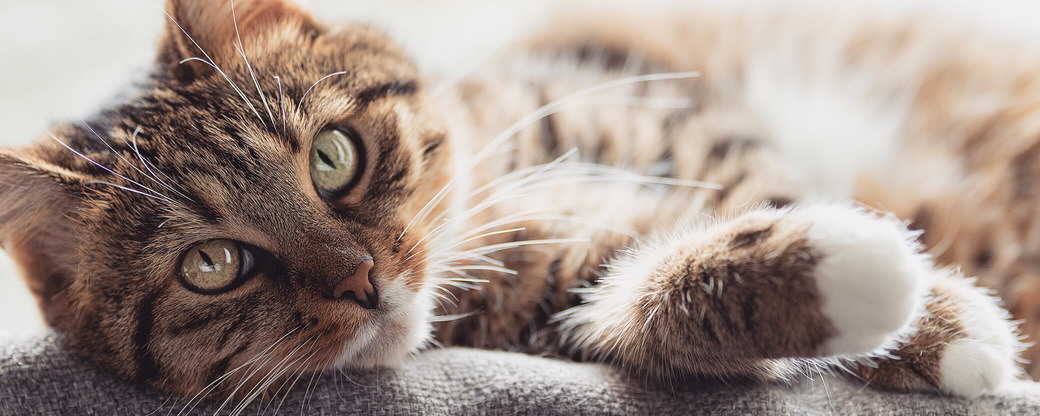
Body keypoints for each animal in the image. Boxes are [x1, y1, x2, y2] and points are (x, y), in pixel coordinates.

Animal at [0, 0, 1031, 405]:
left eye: (332, 158)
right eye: (212, 265)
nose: (364, 281)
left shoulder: (674, 113)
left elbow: (755, 186)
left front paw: (938, 320)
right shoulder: (550, 302)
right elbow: (641, 295)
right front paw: (852, 277)